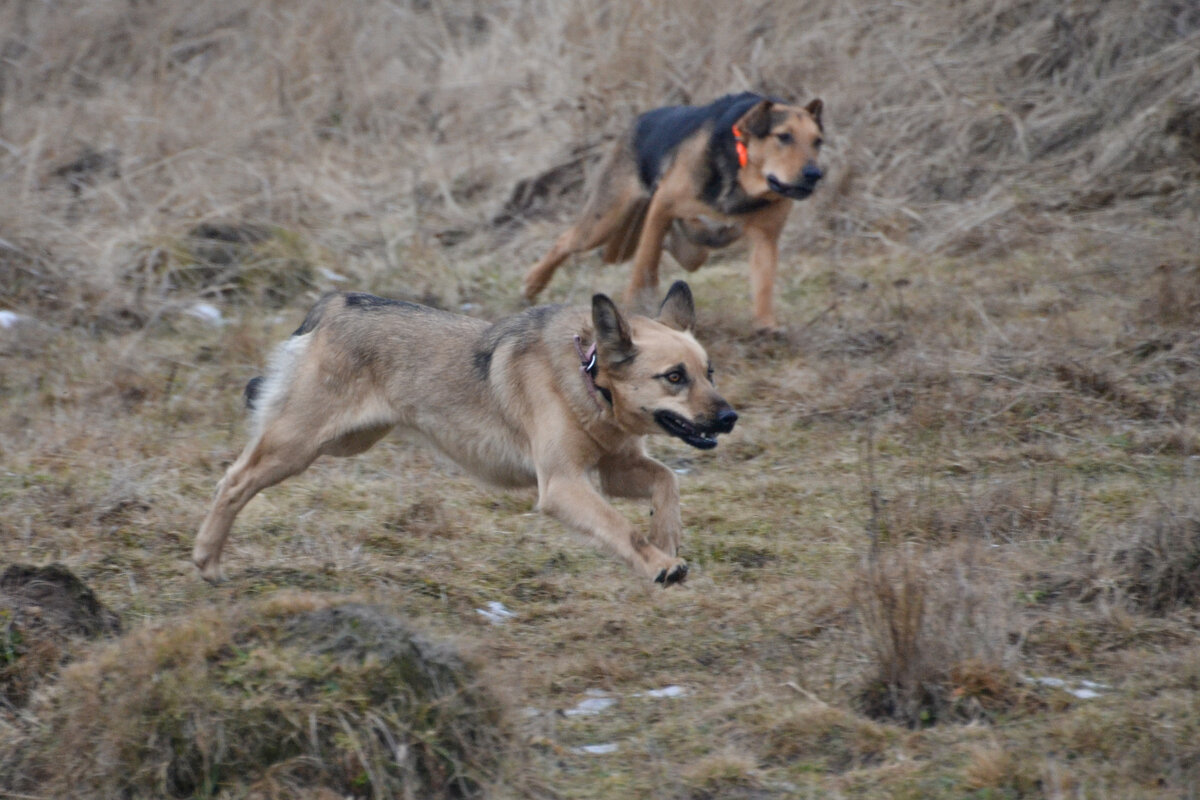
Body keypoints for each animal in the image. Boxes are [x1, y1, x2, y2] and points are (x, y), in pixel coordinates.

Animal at [192, 281, 734, 587]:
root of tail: (336, 305)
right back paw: (207, 560)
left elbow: (666, 482)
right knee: (233, 482)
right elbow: (623, 529)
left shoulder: (614, 470)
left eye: (709, 372)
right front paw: (659, 563)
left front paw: (667, 538)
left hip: (347, 442)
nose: (730, 418)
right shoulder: (563, 486)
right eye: (674, 377)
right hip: (298, 444)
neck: (590, 378)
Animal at [523, 92, 825, 331]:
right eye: (783, 137)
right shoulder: (663, 208)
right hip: (605, 221)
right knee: (566, 241)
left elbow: (764, 283)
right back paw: (532, 285)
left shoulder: (766, 236)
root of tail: (638, 121)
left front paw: (766, 325)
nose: (815, 174)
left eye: (818, 141)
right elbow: (645, 265)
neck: (742, 178)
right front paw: (637, 306)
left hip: (685, 251)